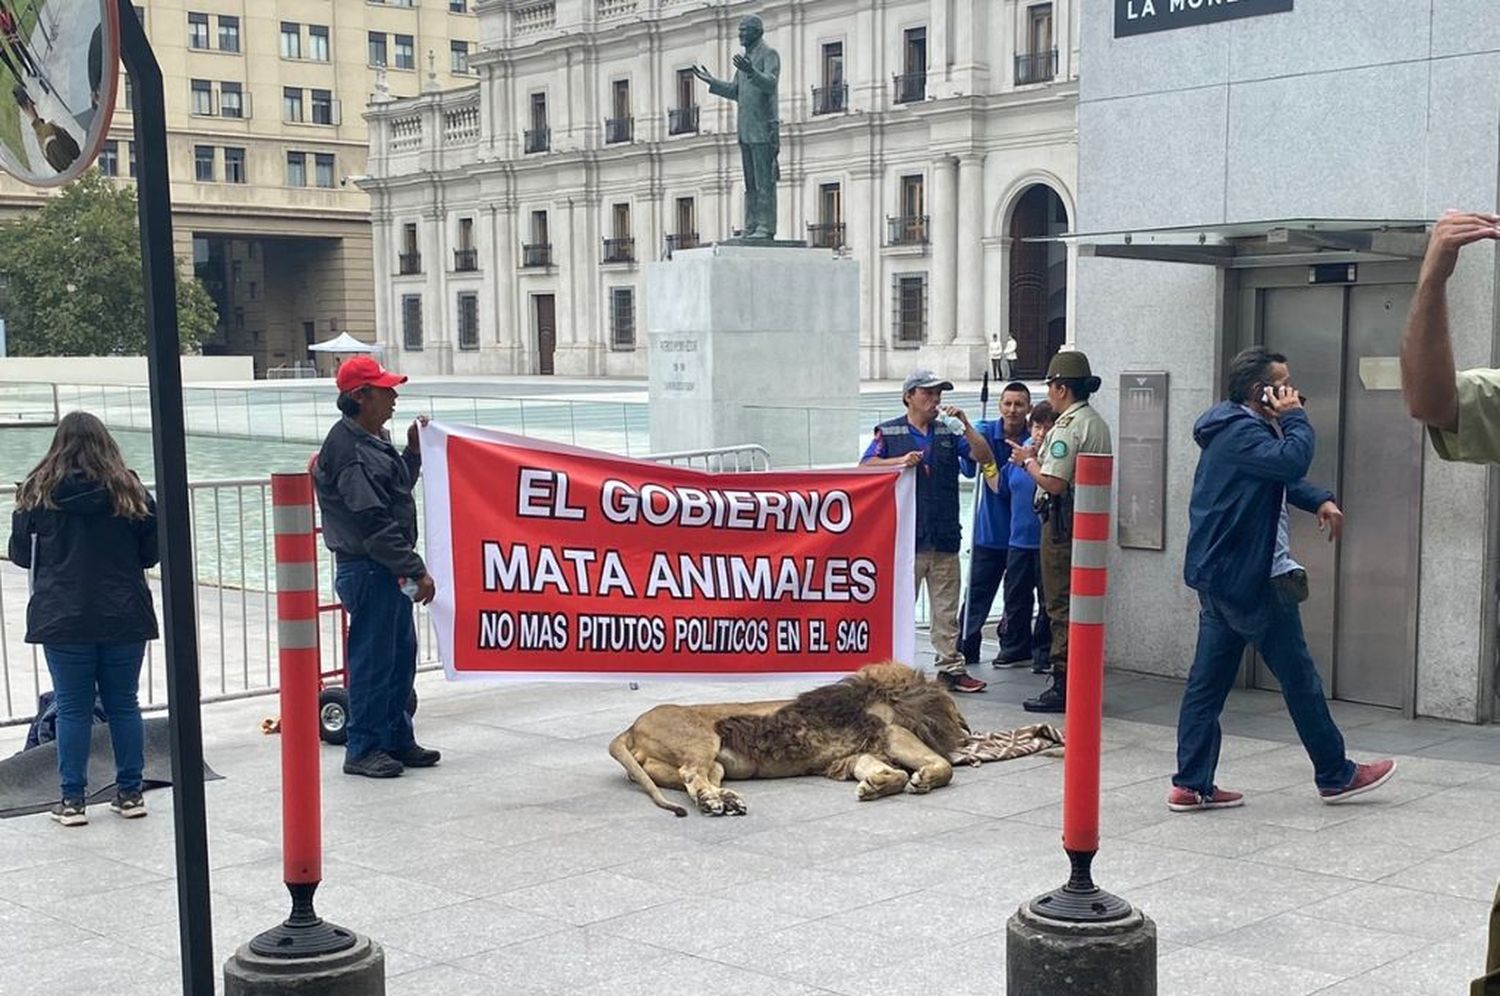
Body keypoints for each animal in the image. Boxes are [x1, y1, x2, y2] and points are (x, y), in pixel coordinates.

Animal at [609, 660, 972, 816]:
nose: (969, 734)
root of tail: (629, 729)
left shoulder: (854, 756)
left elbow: (889, 773)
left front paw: (875, 786)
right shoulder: (893, 732)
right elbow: (940, 765)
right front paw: (924, 778)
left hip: (710, 765)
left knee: (698, 781)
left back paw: (727, 800)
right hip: (701, 740)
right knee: (691, 774)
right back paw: (714, 803)